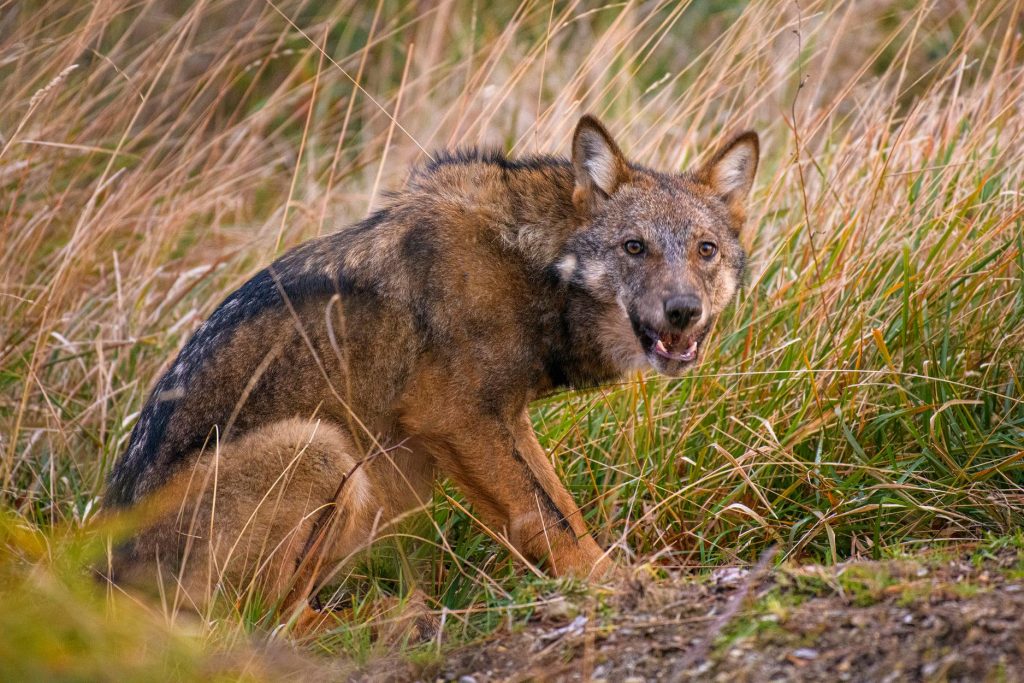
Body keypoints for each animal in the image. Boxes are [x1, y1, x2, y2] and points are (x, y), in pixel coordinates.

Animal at [105, 114, 761, 618]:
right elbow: (546, 519)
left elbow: (562, 508)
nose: (684, 311)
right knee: (264, 622)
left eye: (705, 250)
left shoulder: (505, 419)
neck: (530, 264)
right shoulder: (454, 417)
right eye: (634, 248)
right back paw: (391, 620)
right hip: (322, 448)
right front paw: (611, 585)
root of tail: (104, 581)